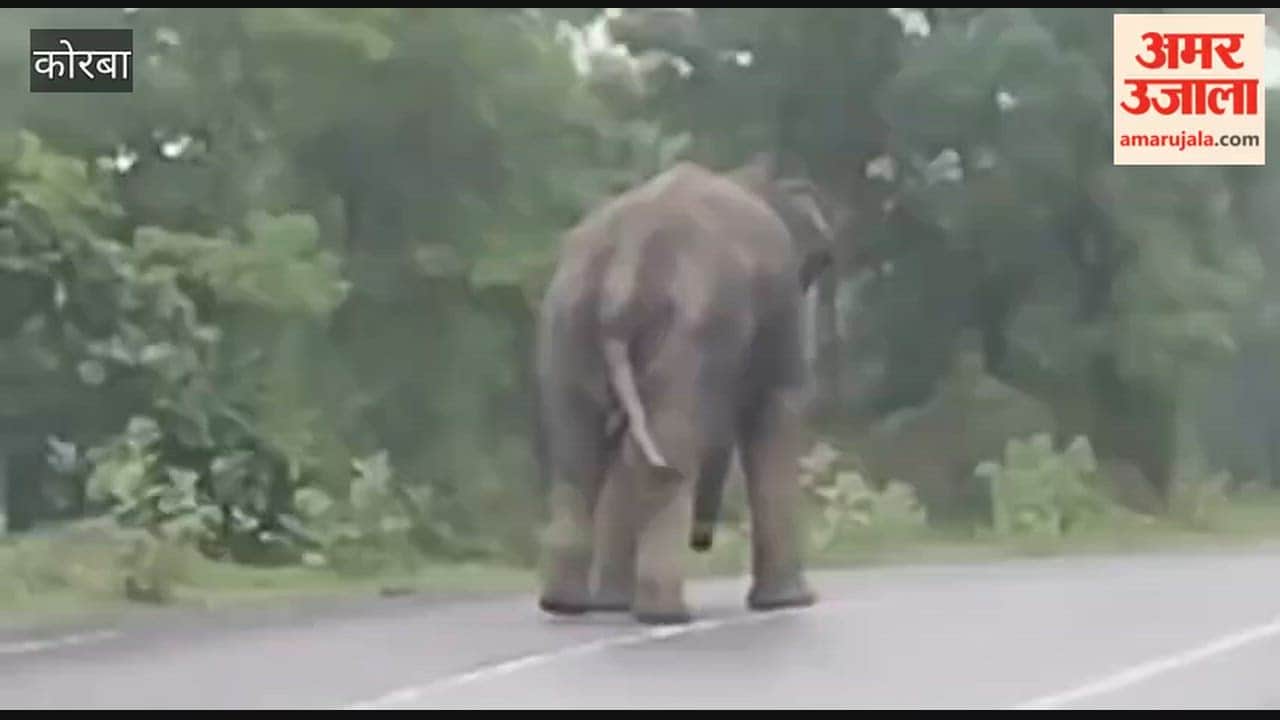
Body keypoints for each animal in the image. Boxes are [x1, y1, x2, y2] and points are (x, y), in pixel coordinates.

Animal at [533, 153, 841, 625]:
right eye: (821, 260)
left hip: (567, 319)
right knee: (664, 453)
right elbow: (775, 412)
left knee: (579, 456)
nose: (702, 541)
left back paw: (568, 606)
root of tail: (625, 263)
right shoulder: (781, 306)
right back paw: (664, 614)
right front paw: (791, 603)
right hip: (686, 330)